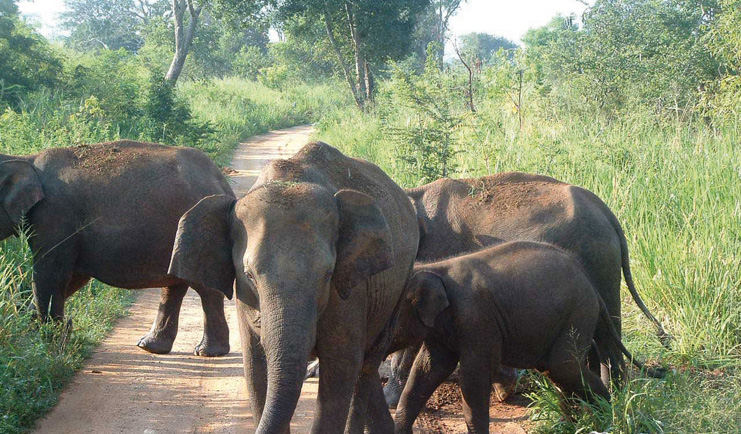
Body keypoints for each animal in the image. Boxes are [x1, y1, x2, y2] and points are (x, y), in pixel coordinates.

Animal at [0, 141, 234, 356]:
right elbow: (73, 278)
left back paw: (207, 351)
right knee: (174, 284)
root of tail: (220, 180)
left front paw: (53, 346)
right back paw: (150, 347)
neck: (25, 160)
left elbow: (50, 276)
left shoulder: (53, 215)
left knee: (204, 287)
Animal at [167, 142, 419, 434]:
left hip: (399, 285)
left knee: (366, 365)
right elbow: (255, 368)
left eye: (327, 274)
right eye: (249, 275)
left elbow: (341, 368)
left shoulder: (349, 293)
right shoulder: (245, 299)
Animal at [384, 172, 670, 406]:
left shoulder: (439, 250)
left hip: (599, 258)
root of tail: (607, 213)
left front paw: (390, 400)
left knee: (607, 331)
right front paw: (504, 386)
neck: (414, 194)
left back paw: (615, 397)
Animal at [391, 241, 665, 434]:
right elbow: (426, 370)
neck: (435, 268)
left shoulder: (477, 321)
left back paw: (608, 415)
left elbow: (472, 379)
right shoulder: (441, 330)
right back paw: (574, 423)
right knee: (558, 369)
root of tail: (591, 284)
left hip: (578, 311)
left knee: (563, 366)